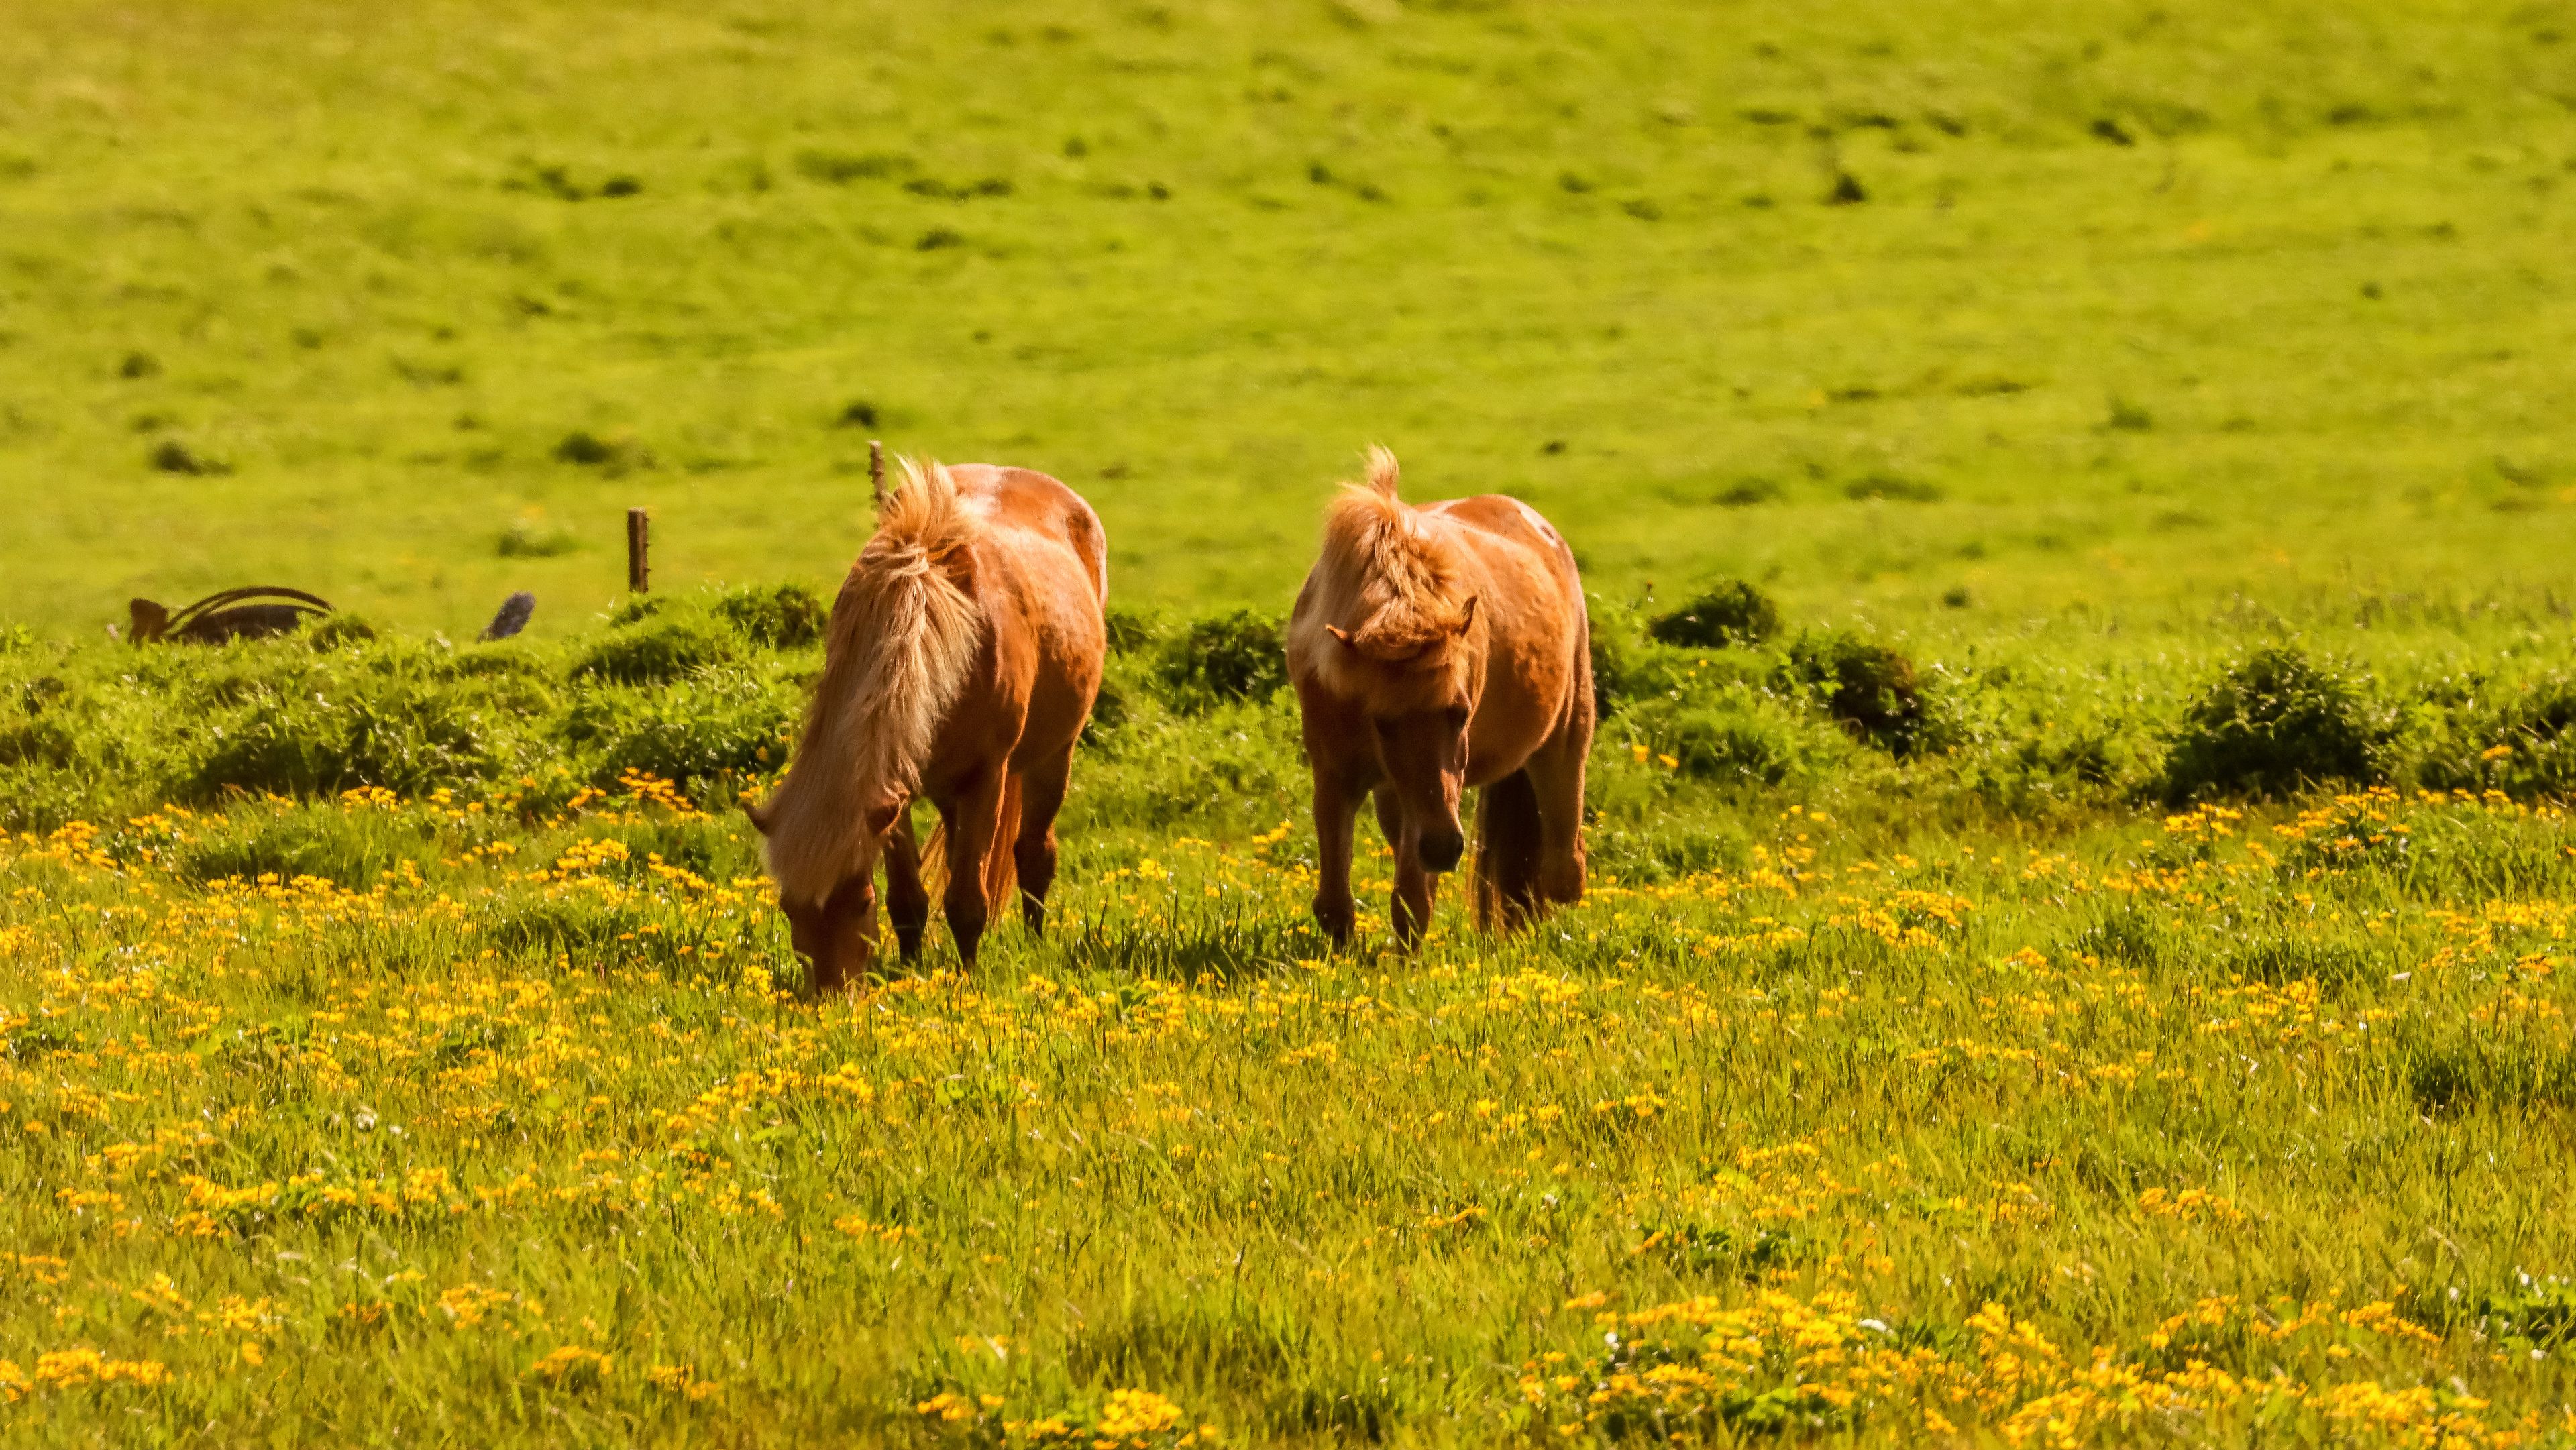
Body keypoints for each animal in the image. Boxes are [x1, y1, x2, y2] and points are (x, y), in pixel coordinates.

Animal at [747, 458, 1108, 994]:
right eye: (788, 907)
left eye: (861, 904)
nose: (829, 996)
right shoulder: (891, 799)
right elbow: (910, 900)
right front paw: (910, 970)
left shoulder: (986, 778)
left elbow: (967, 903)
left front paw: (968, 980)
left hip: (1052, 758)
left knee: (1033, 856)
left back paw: (1035, 942)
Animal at [1288, 448, 1587, 948]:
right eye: (1382, 722)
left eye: (1462, 713)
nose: (1444, 847)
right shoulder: (1335, 774)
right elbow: (1334, 905)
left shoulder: (1428, 798)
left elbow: (1411, 902)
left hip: (1563, 741)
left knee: (1564, 869)